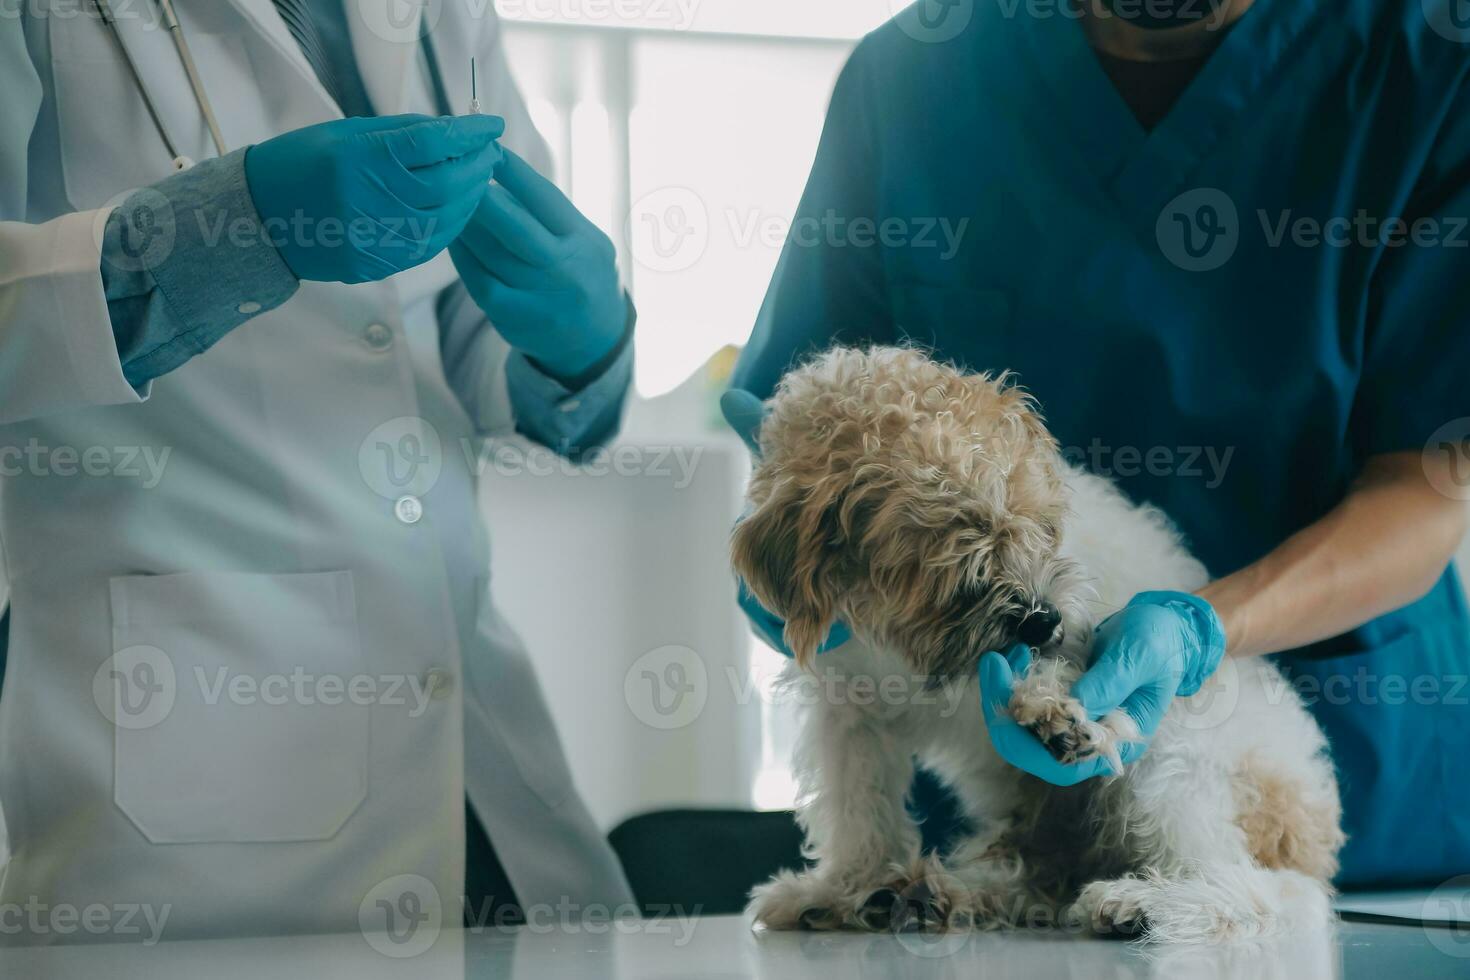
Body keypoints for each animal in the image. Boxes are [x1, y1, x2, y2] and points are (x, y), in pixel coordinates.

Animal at [735, 345, 1346, 940]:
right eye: (947, 544)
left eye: (1038, 524)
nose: (1042, 620)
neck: (907, 655)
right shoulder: (849, 717)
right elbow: (858, 811)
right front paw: (847, 886)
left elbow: (1048, 674)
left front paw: (1053, 712)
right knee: (1036, 872)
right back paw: (940, 892)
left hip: (1175, 753)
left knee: (1259, 886)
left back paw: (1140, 902)